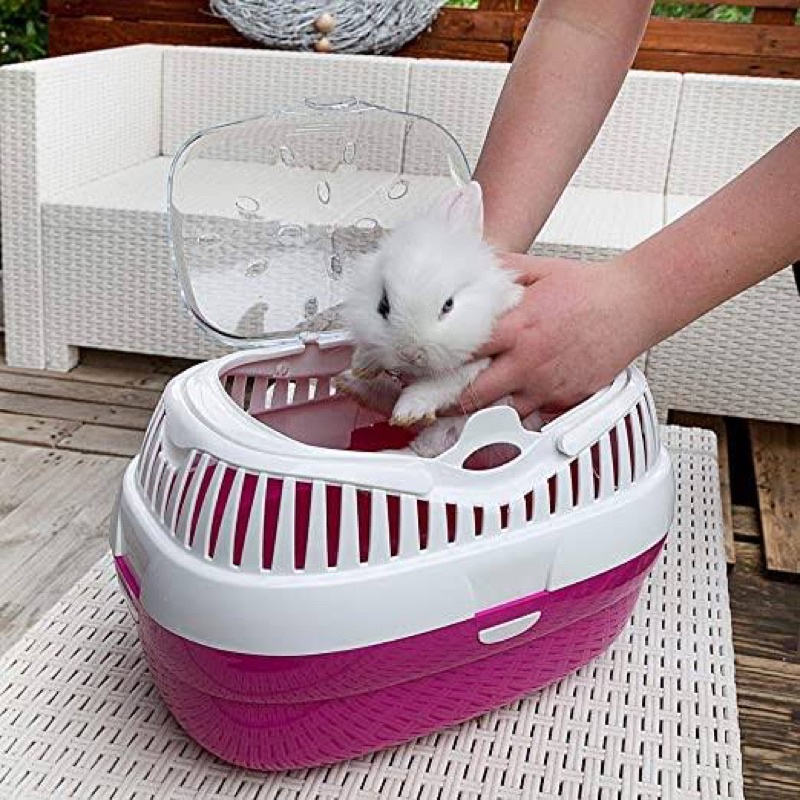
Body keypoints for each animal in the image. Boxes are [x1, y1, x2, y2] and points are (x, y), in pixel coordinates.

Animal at [336, 181, 524, 457]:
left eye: (448, 305)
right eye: (383, 305)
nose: (409, 353)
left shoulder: (476, 364)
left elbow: (436, 385)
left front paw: (409, 410)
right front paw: (362, 363)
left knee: (427, 449)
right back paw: (349, 382)